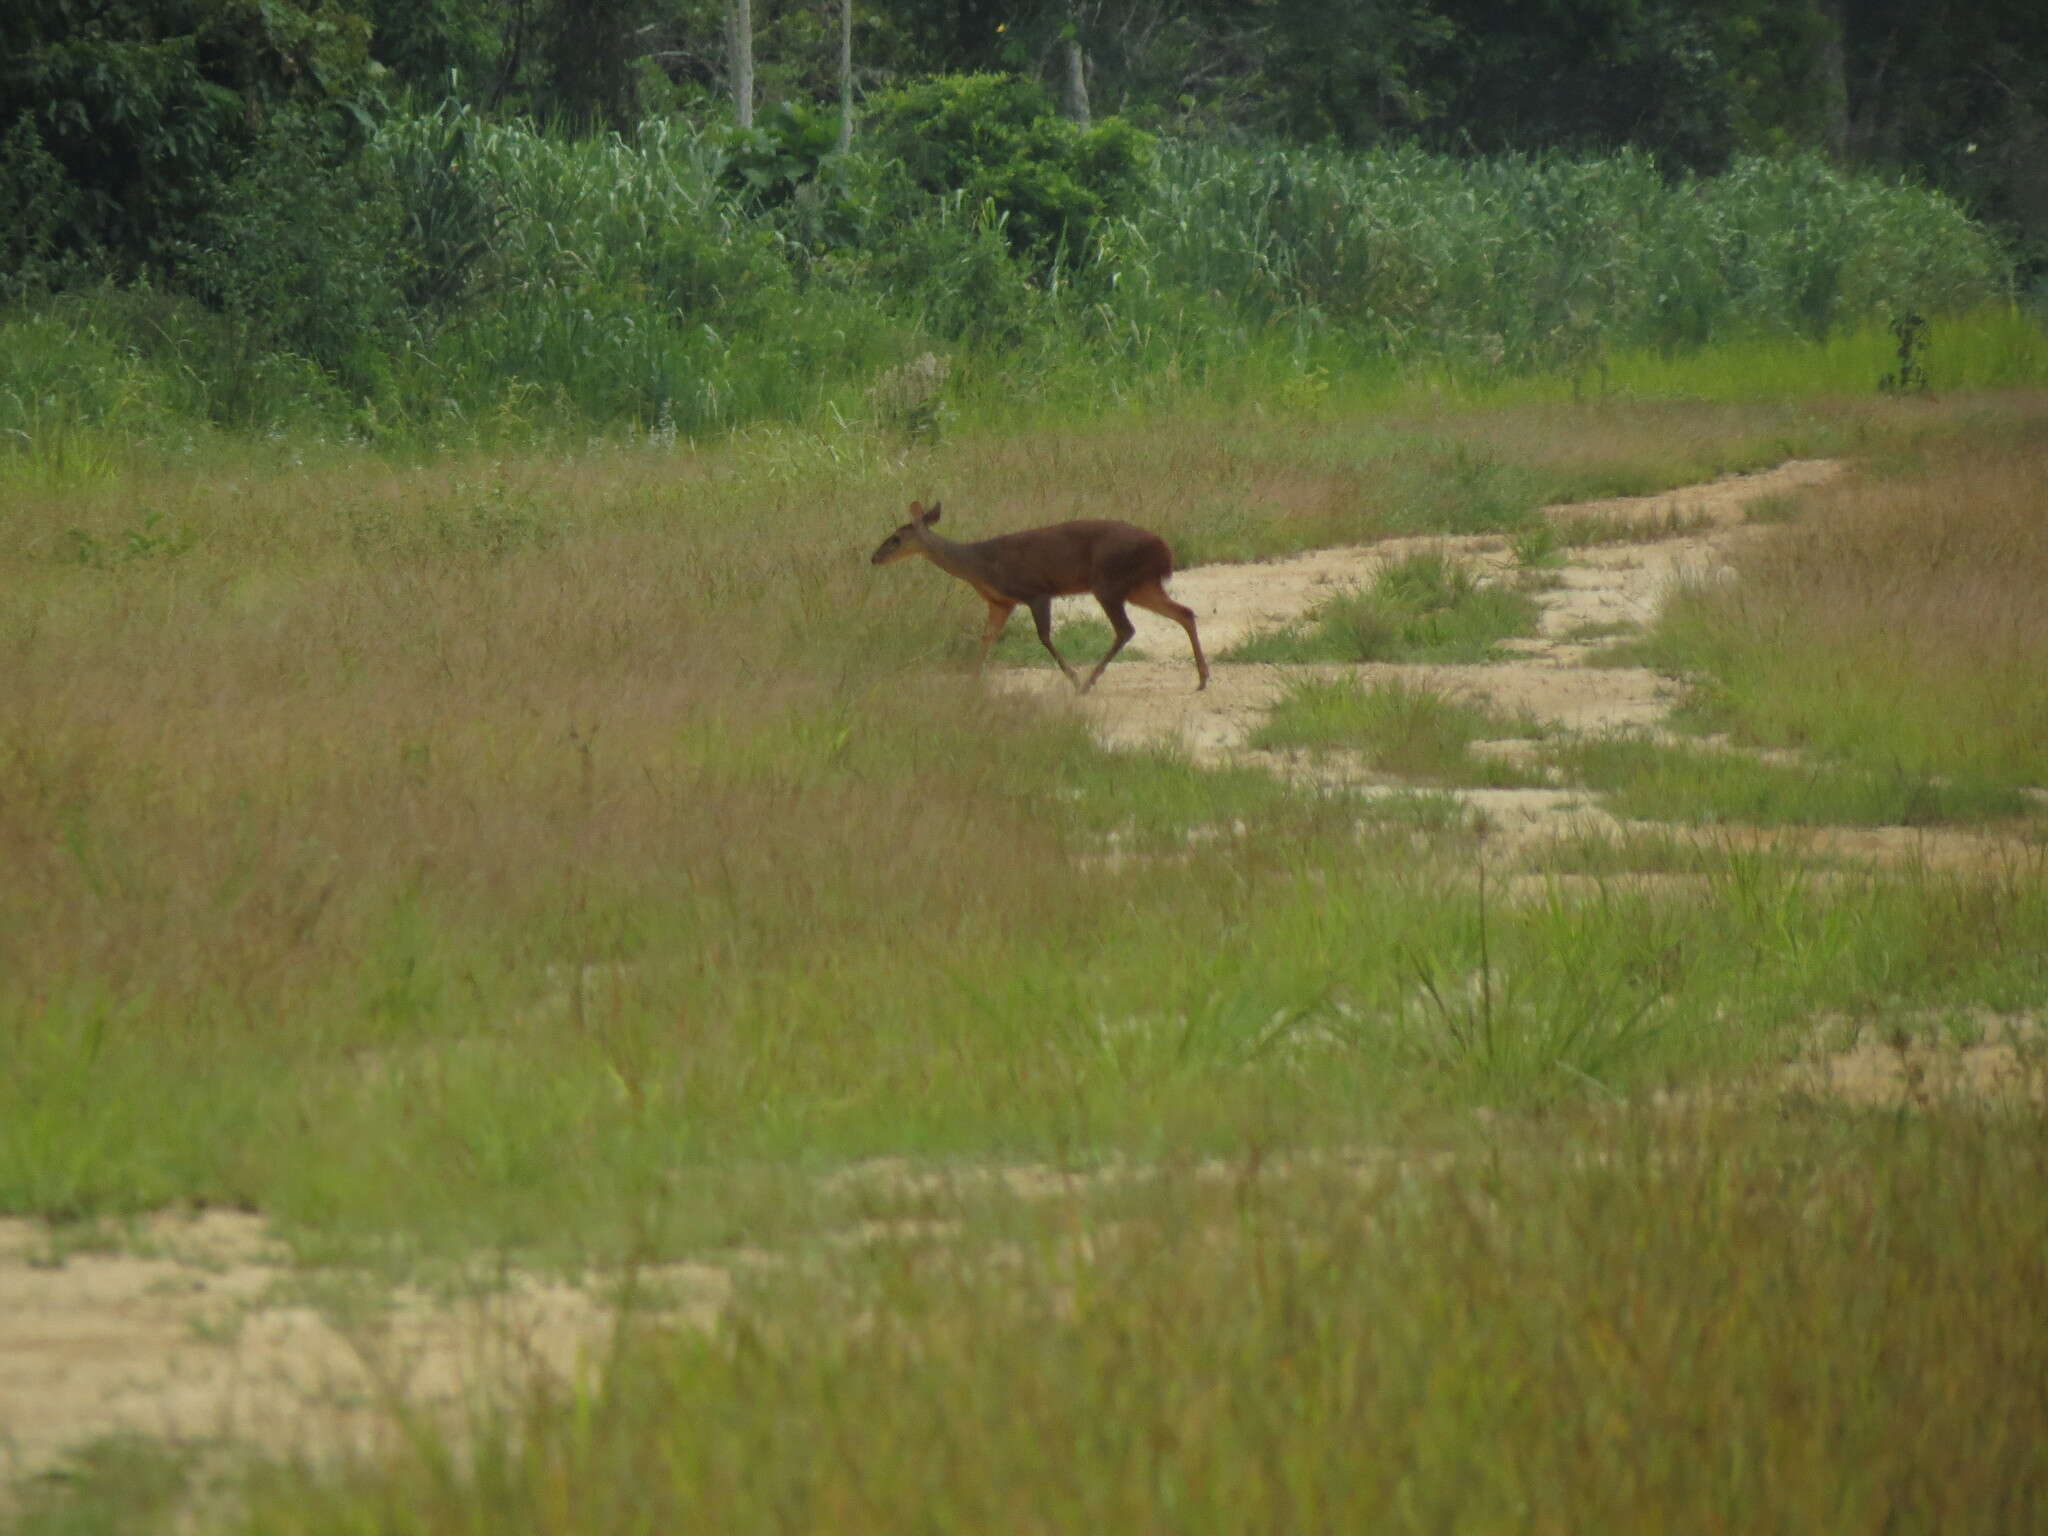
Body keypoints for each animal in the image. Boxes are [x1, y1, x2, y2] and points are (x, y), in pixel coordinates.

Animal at [872, 501, 1204, 696]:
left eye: (895, 539)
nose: (874, 557)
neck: (979, 565)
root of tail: (1164, 549)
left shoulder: (1035, 591)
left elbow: (1043, 636)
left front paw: (1072, 676)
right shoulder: (1000, 602)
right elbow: (987, 637)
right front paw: (972, 680)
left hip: (1109, 583)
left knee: (1126, 629)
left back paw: (1086, 683)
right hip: (1140, 586)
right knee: (1184, 612)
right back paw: (1202, 678)